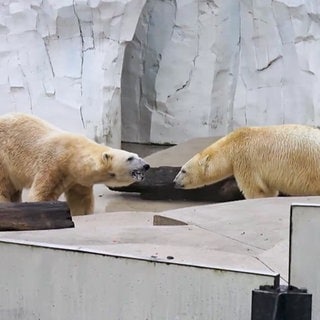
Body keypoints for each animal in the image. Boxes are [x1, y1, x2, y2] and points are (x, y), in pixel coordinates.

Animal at [0, 112, 150, 215]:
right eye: (130, 158)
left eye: (138, 156)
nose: (146, 165)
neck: (73, 156)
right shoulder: (53, 164)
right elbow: (43, 194)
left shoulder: (77, 178)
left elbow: (80, 199)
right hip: (3, 159)